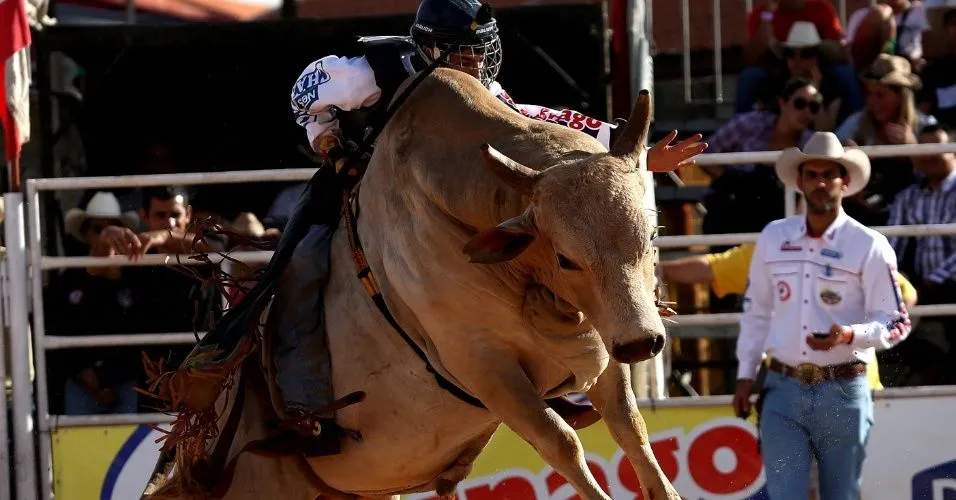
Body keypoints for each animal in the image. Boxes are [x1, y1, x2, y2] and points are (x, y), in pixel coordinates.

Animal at [144, 69, 680, 500]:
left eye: (652, 234)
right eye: (566, 258)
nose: (643, 342)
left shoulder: (605, 338)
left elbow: (630, 427)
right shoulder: (485, 367)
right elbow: (561, 441)